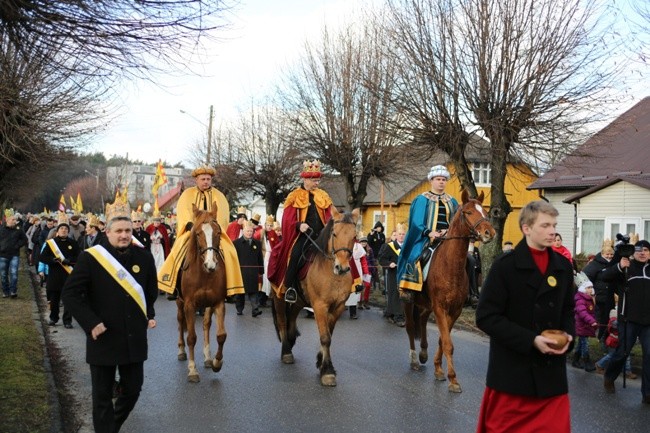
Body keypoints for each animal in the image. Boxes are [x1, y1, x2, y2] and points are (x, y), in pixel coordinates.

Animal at [176, 202, 227, 382]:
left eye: (218, 232)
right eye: (198, 234)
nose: (211, 264)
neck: (205, 274)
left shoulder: (218, 303)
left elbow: (221, 335)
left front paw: (217, 363)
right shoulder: (189, 305)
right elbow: (191, 337)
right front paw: (192, 370)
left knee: (206, 324)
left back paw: (207, 358)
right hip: (180, 302)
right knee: (180, 321)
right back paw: (181, 350)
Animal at [268, 206, 360, 384]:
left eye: (354, 236)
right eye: (334, 234)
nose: (342, 268)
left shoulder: (338, 307)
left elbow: (329, 334)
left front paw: (321, 361)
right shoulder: (320, 306)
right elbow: (325, 337)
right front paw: (327, 371)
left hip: (299, 301)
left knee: (291, 319)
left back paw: (291, 340)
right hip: (279, 297)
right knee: (282, 321)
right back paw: (286, 351)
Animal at [402, 189, 494, 392]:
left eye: (484, 211)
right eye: (468, 212)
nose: (489, 233)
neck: (450, 266)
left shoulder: (454, 310)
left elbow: (443, 341)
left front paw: (439, 370)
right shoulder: (440, 308)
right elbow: (447, 343)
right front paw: (452, 378)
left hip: (427, 305)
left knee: (422, 319)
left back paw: (423, 353)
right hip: (408, 301)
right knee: (411, 326)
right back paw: (414, 358)